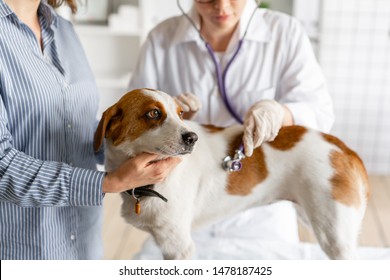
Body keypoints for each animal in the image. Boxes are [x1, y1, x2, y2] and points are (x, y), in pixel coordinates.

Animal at [93, 88, 368, 260]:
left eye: (181, 114)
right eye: (153, 113)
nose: (192, 138)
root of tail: (345, 149)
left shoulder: (178, 247)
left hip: (335, 237)